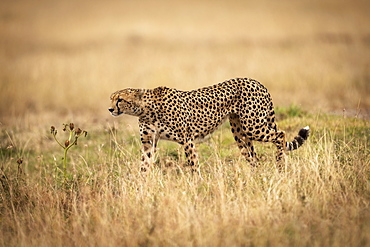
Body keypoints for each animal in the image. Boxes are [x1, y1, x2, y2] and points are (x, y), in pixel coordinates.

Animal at [109, 78, 310, 173]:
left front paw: (196, 186)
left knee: (280, 135)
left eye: (120, 99)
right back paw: (257, 176)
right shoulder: (148, 142)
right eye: (111, 98)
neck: (145, 109)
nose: (110, 109)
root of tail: (256, 81)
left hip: (253, 126)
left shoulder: (187, 139)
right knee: (253, 157)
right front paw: (140, 188)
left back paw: (280, 166)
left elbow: (194, 164)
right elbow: (144, 166)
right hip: (240, 132)